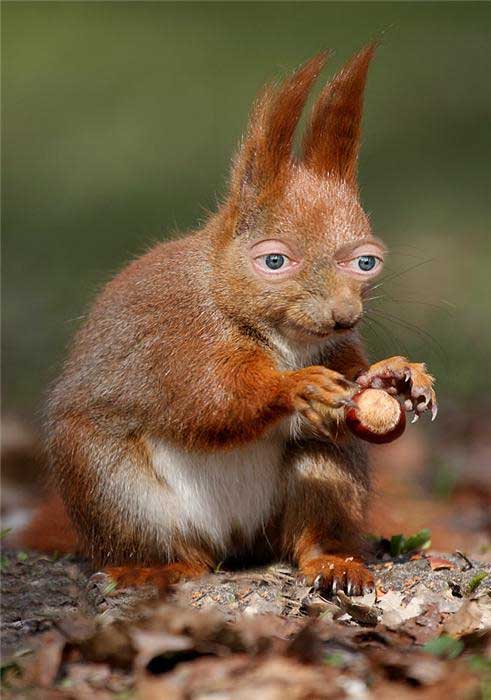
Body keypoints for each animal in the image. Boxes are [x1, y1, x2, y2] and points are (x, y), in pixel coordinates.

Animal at [19, 45, 437, 595]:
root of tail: (235, 542)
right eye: (274, 261)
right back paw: (153, 568)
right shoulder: (180, 335)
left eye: (366, 262)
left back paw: (334, 562)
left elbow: (353, 376)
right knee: (170, 548)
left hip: (324, 476)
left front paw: (399, 375)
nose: (345, 315)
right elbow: (210, 400)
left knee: (311, 524)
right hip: (112, 485)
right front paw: (295, 387)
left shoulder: (338, 347)